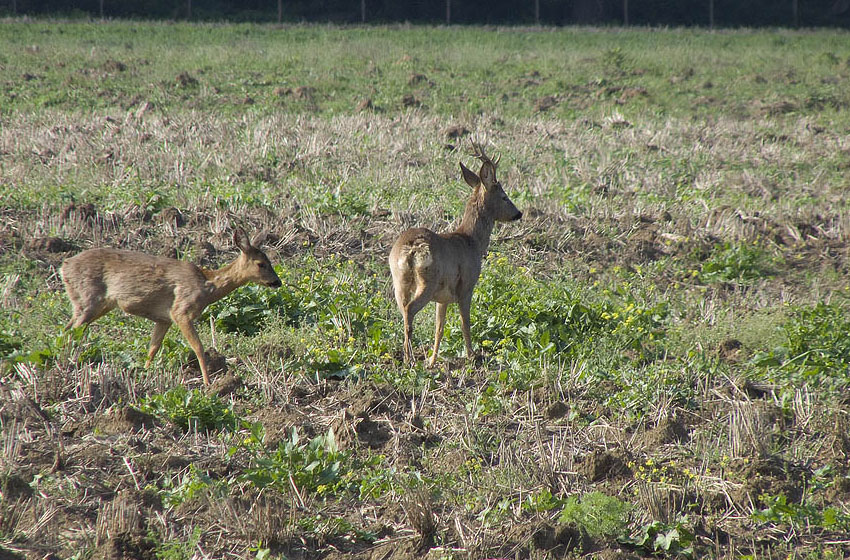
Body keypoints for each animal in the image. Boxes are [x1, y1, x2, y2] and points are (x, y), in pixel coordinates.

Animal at [63, 228, 282, 384]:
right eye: (261, 263)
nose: (277, 282)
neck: (207, 285)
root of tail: (64, 266)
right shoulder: (181, 311)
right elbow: (199, 347)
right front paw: (208, 383)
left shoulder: (163, 319)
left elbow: (153, 348)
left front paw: (145, 372)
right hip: (88, 299)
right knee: (73, 331)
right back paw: (70, 363)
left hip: (95, 304)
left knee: (68, 328)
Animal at [388, 142, 520, 366]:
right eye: (504, 197)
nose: (518, 213)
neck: (471, 241)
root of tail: (412, 248)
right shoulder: (466, 286)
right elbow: (465, 322)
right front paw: (472, 356)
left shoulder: (442, 298)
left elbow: (439, 329)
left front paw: (432, 361)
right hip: (428, 280)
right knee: (410, 310)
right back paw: (409, 358)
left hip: (399, 281)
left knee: (403, 311)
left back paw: (409, 357)